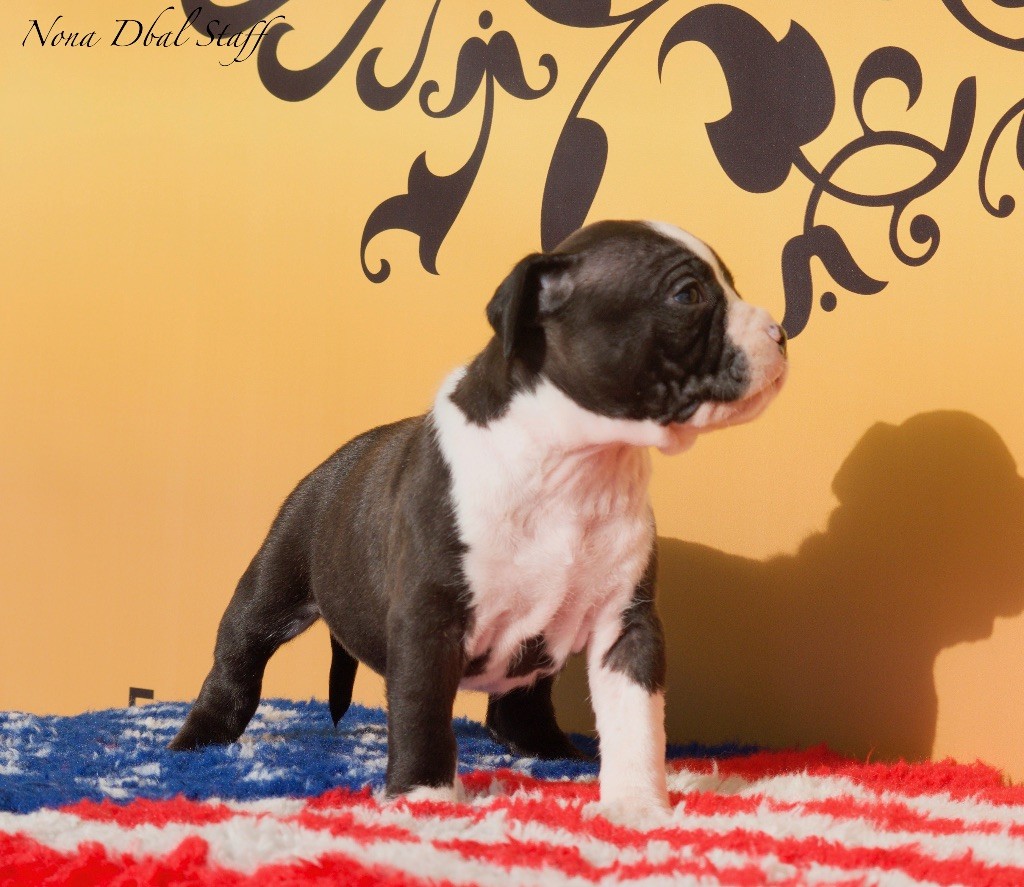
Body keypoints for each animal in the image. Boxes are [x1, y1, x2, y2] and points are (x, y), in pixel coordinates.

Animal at [169, 220, 787, 818]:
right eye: (688, 295)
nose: (780, 332)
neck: (577, 461)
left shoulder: (626, 623)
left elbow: (637, 722)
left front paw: (636, 803)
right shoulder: (429, 618)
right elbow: (421, 712)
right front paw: (425, 794)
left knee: (517, 707)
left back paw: (552, 750)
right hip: (274, 579)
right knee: (238, 658)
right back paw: (197, 742)